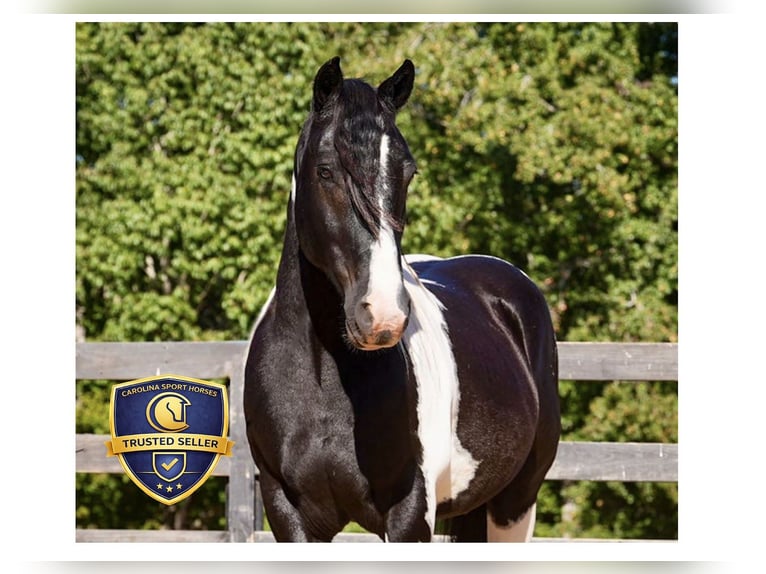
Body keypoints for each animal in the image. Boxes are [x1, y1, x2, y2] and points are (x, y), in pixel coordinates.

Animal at [243, 57, 560, 542]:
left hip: (515, 502)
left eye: (408, 172)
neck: (323, 381)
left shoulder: (408, 513)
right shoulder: (287, 512)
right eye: (325, 170)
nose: (382, 316)